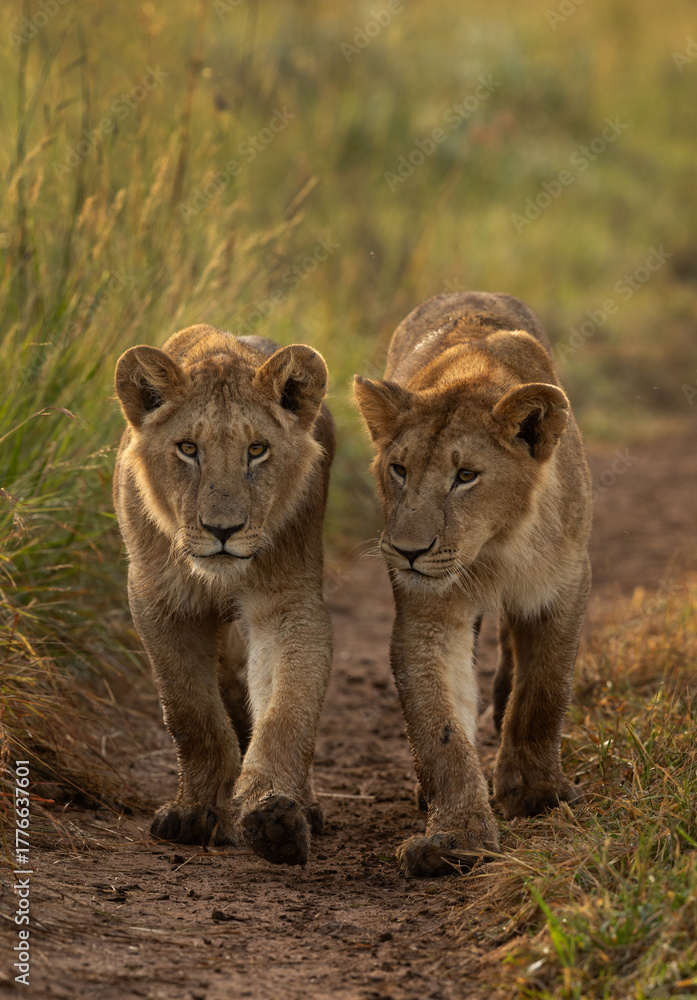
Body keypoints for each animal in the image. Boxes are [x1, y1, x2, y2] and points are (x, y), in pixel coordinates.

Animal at [113, 324, 334, 866]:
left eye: (257, 450)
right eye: (188, 448)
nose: (222, 530)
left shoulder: (288, 603)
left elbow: (289, 711)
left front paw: (273, 813)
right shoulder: (158, 601)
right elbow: (191, 714)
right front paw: (195, 813)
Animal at [354, 291, 592, 877]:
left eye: (466, 476)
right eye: (399, 469)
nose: (408, 551)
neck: (493, 549)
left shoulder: (563, 590)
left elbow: (543, 693)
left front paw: (535, 793)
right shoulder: (429, 614)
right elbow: (439, 726)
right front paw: (456, 837)